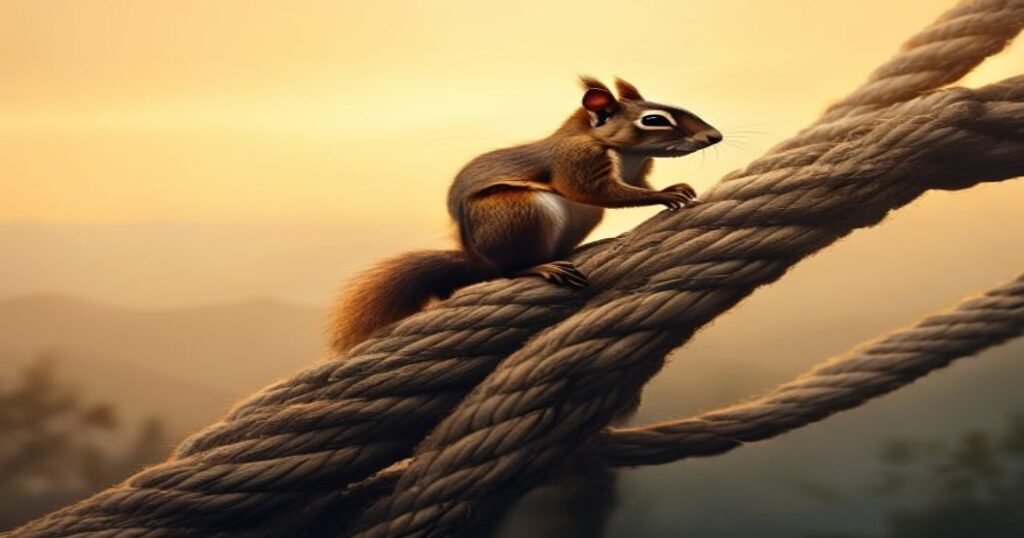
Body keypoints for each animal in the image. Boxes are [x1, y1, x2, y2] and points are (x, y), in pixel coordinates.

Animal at [330, 77, 721, 352]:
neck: (623, 152)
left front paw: (677, 186)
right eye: (654, 120)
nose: (714, 136)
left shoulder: (635, 173)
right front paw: (666, 195)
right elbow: (602, 193)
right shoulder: (577, 163)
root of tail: (479, 262)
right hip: (520, 212)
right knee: (510, 269)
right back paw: (541, 267)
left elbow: (634, 186)